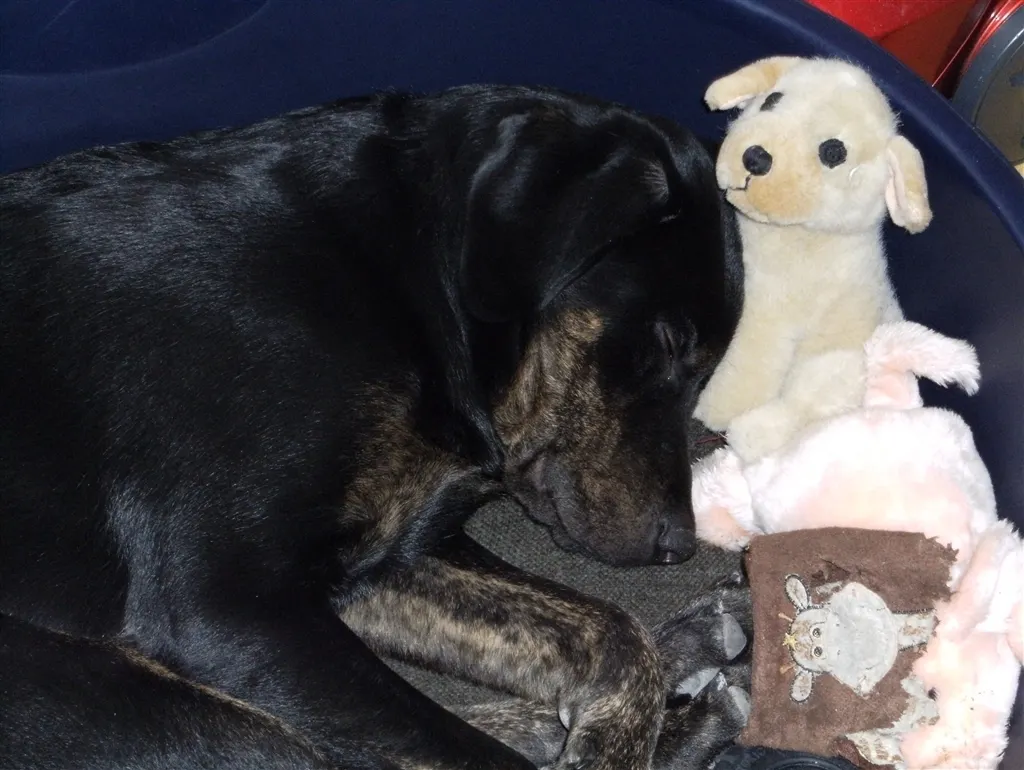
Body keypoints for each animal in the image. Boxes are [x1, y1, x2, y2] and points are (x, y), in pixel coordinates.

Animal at [0, 84, 746, 769]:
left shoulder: (379, 561)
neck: (400, 286)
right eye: (671, 343)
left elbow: (610, 629)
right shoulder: (230, 602)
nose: (681, 545)